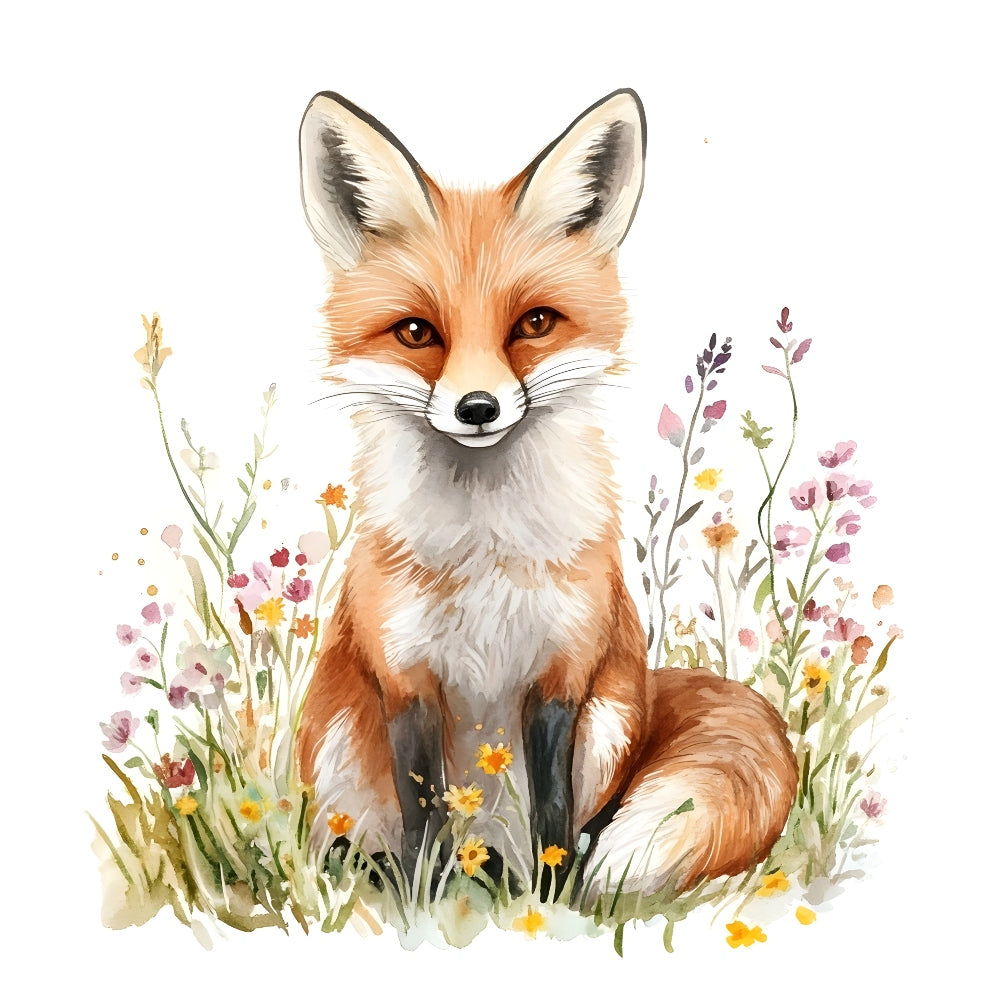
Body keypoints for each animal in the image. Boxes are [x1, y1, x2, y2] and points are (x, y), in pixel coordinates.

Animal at [295, 88, 798, 899]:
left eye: (534, 323)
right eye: (416, 332)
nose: (477, 408)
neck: (484, 552)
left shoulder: (564, 673)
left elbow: (556, 816)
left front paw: (553, 900)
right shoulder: (405, 679)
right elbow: (423, 815)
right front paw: (423, 900)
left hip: (615, 718)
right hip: (338, 732)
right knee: (369, 838)